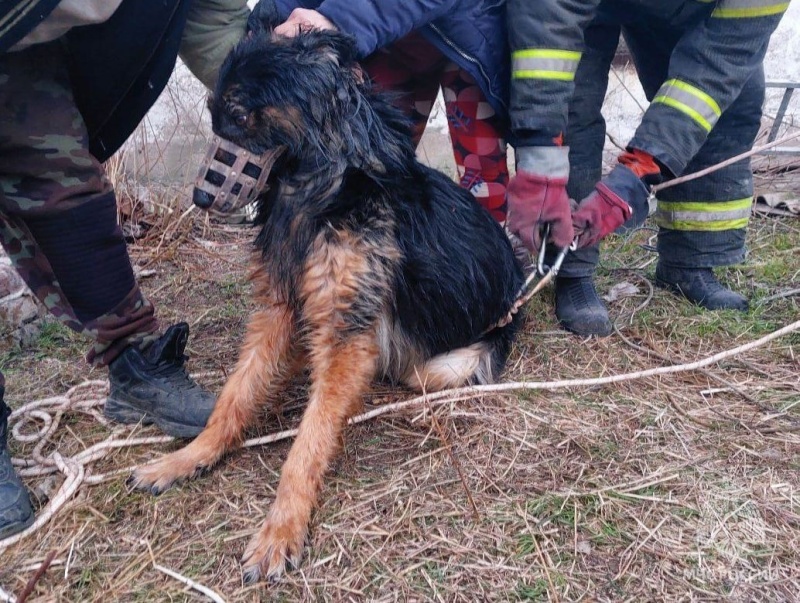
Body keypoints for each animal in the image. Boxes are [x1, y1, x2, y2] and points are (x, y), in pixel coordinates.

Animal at [130, 24, 524, 584]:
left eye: (239, 114)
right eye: (213, 115)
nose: (201, 200)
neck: (321, 191)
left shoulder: (345, 337)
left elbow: (308, 440)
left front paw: (281, 530)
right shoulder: (279, 312)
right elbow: (235, 395)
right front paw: (188, 458)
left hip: (447, 364)